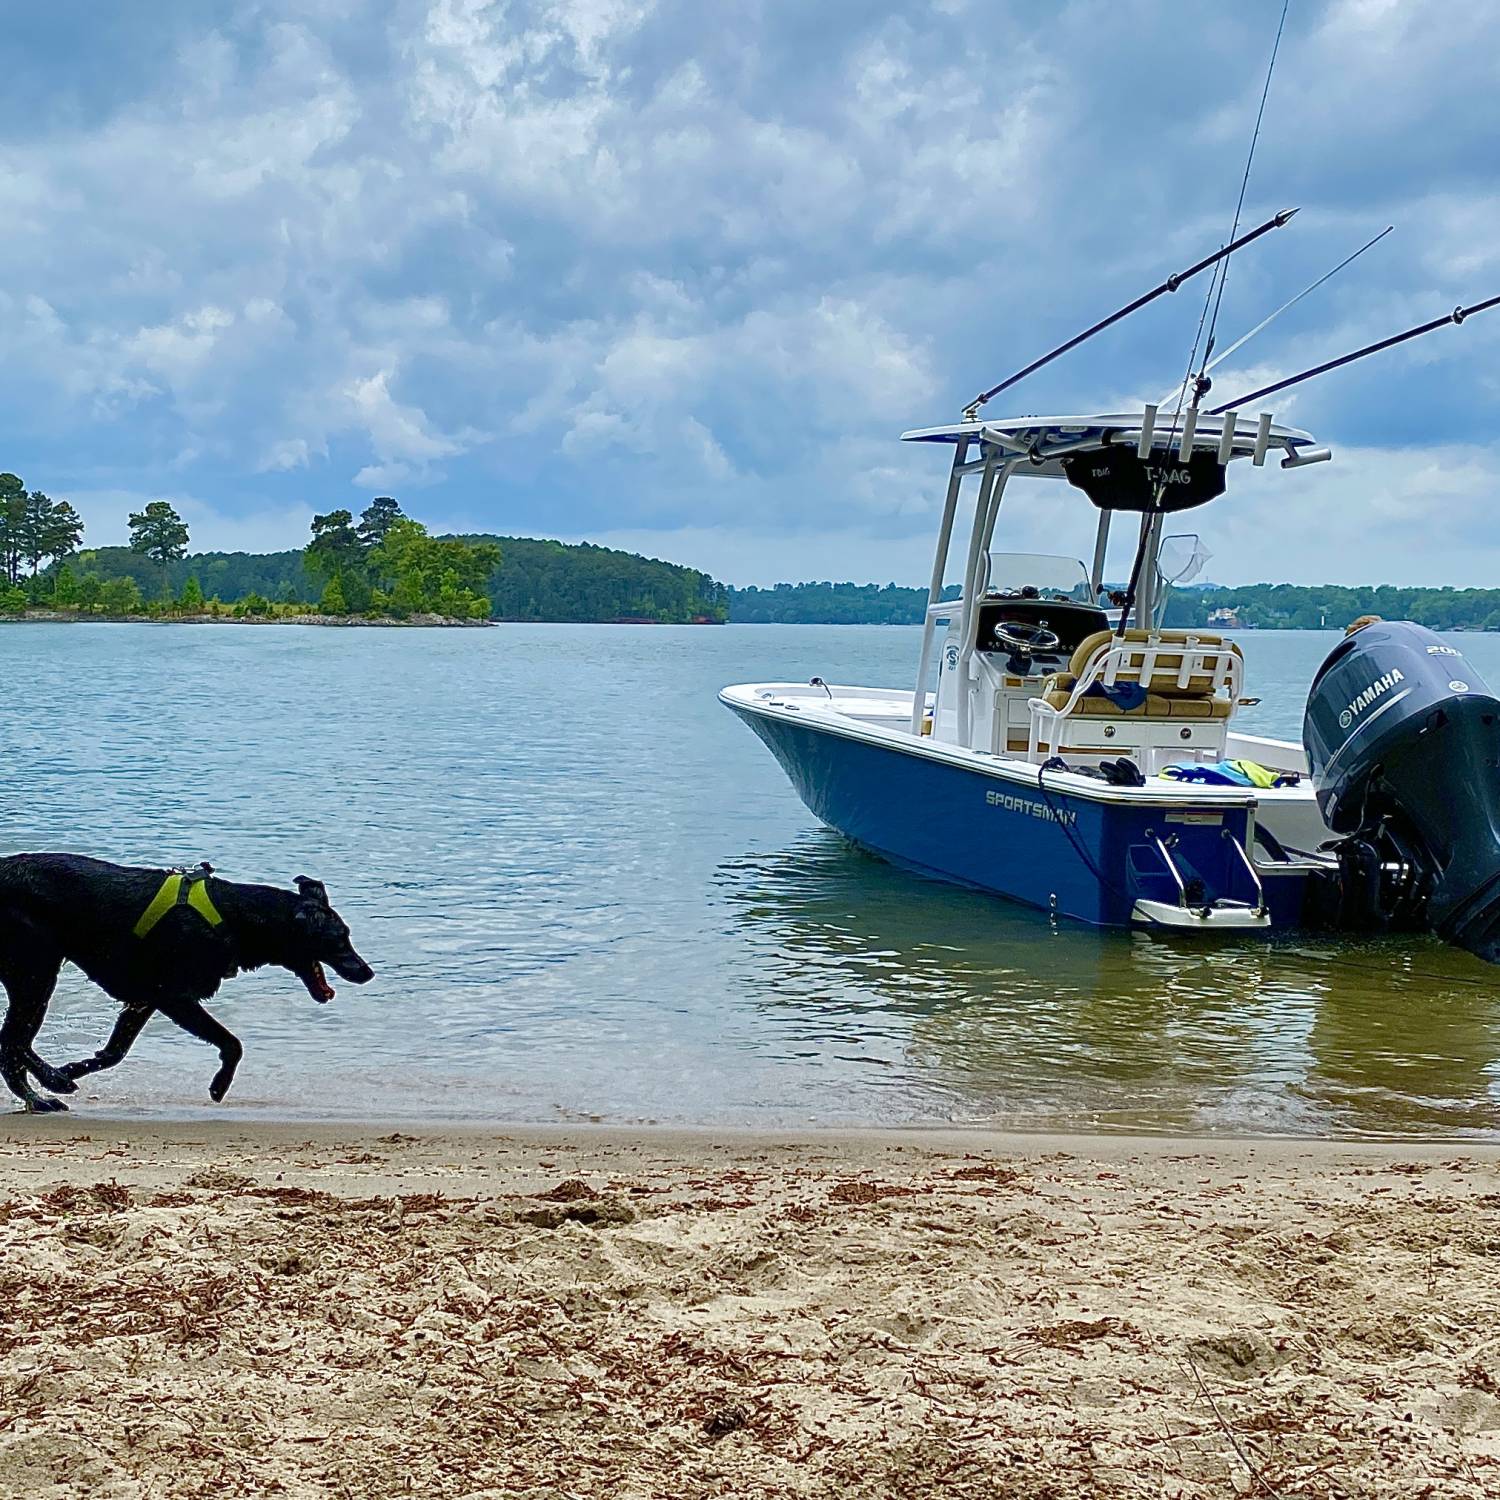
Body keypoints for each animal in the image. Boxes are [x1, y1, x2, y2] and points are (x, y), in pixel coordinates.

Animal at [0, 852, 373, 1110]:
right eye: (339, 939)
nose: (367, 972)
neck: (237, 918)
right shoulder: (174, 998)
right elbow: (232, 1044)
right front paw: (219, 1085)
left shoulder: (145, 999)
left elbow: (114, 1052)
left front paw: (75, 1068)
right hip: (35, 973)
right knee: (11, 1045)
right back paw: (41, 1096)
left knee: (17, 1043)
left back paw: (53, 1081)